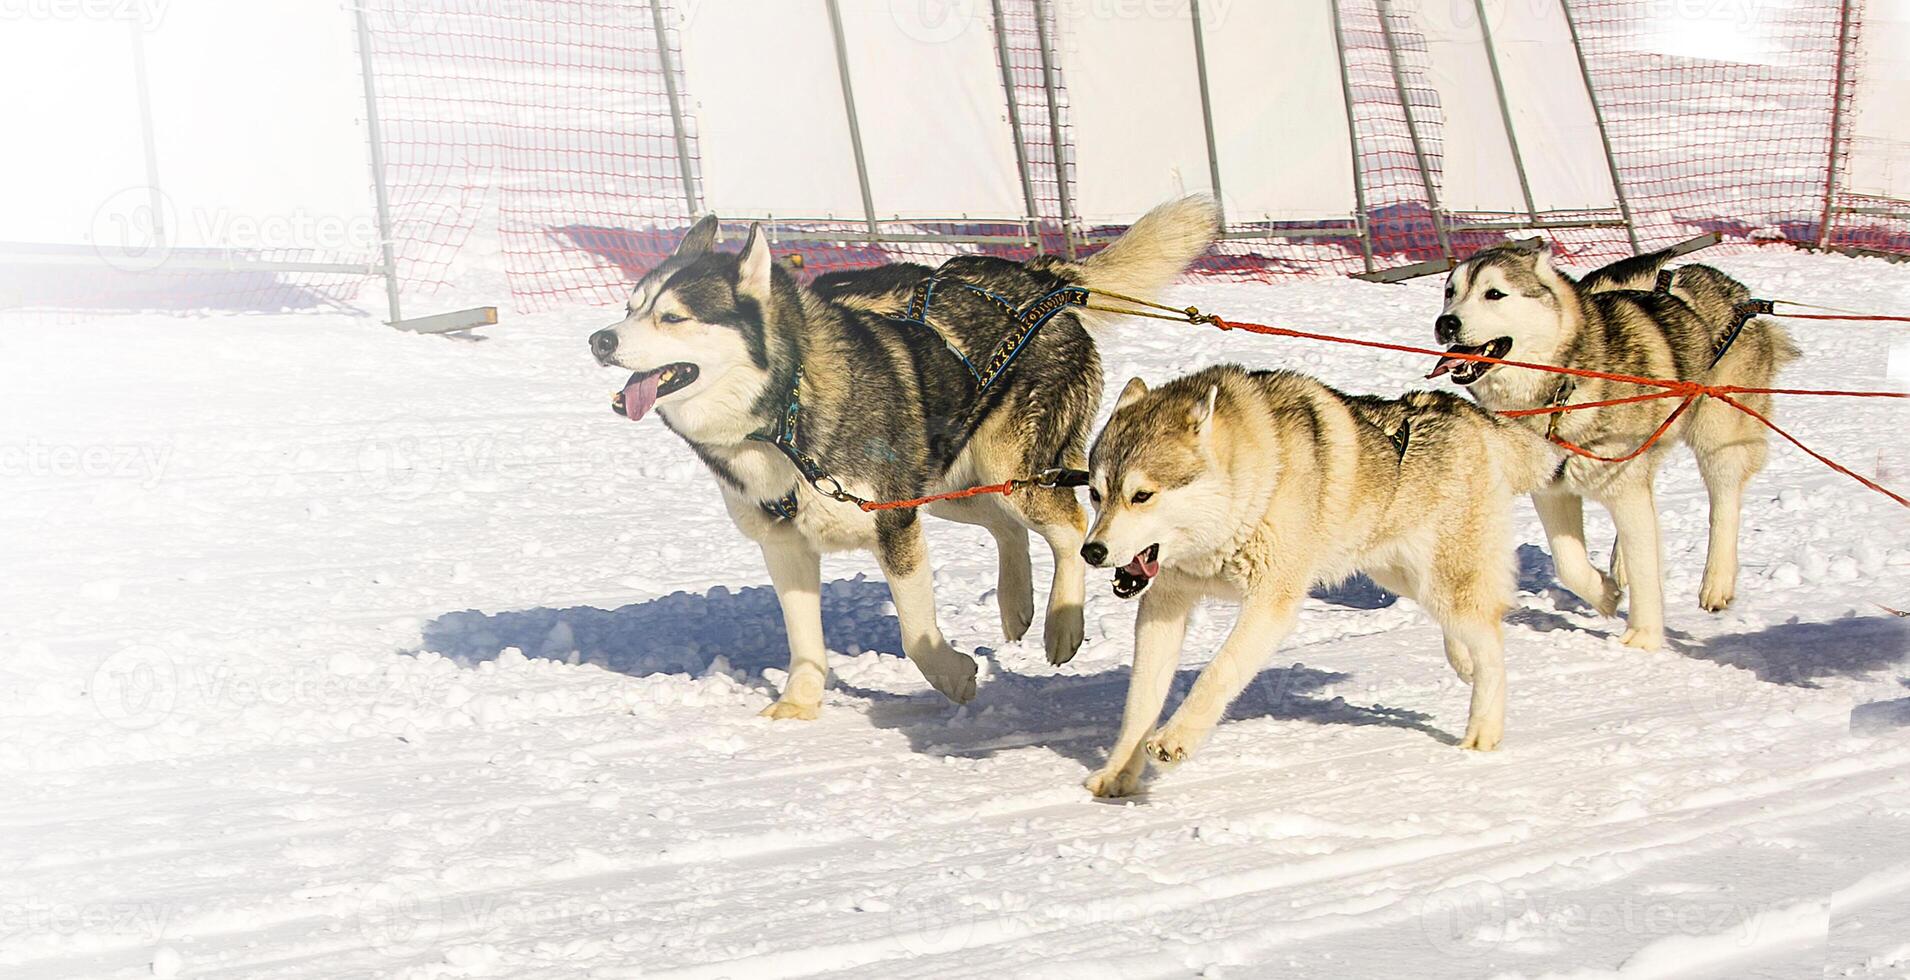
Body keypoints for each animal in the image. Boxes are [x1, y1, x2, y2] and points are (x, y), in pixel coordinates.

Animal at [588, 198, 1214, 718]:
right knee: (1004, 525)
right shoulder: (786, 544)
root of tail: (1040, 275)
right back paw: (1015, 603)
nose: (599, 339)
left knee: (1068, 526)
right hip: (944, 486)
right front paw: (798, 705)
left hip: (1008, 469)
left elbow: (916, 634)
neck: (785, 412)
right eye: (630, 307)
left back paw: (1061, 624)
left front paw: (956, 677)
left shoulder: (893, 525)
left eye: (673, 317)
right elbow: (803, 639)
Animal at [1084, 366, 1558, 794]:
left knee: (1491, 640)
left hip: (1442, 584)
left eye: (1142, 496)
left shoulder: (1271, 603)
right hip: (1400, 574)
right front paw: (1118, 774)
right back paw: (1463, 662)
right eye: (1095, 493)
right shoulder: (1163, 606)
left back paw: (1483, 731)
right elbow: (1140, 704)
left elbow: (1216, 674)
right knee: (1469, 629)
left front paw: (1174, 740)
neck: (1255, 489)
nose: (1092, 552)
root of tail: (1460, 408)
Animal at [1436, 239, 1795, 645]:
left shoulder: (1624, 485)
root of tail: (1733, 289)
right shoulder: (1552, 490)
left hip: (1718, 435)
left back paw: (1716, 582)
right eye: (1450, 293)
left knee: (1724, 501)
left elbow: (1644, 567)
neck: (1563, 388)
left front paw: (1643, 638)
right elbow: (1569, 563)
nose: (1446, 323)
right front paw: (1606, 594)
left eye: (1494, 293)